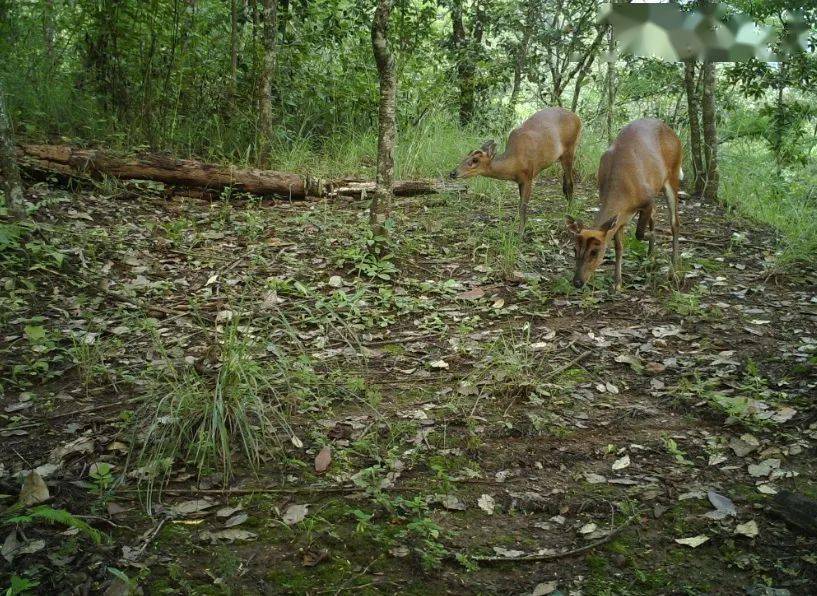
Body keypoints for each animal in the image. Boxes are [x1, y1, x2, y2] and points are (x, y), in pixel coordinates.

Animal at [452, 107, 580, 233]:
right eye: (467, 154)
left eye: (475, 160)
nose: (452, 173)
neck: (515, 162)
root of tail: (577, 118)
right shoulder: (520, 180)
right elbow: (520, 205)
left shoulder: (529, 176)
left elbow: (523, 206)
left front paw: (520, 233)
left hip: (569, 149)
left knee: (570, 183)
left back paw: (570, 212)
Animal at [564, 118, 680, 292]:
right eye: (574, 249)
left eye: (595, 251)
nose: (577, 282)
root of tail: (673, 132)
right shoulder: (620, 217)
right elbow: (619, 246)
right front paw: (617, 282)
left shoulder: (647, 200)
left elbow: (639, 234)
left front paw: (653, 238)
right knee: (655, 216)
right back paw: (650, 257)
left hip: (674, 173)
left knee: (674, 223)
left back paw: (672, 272)